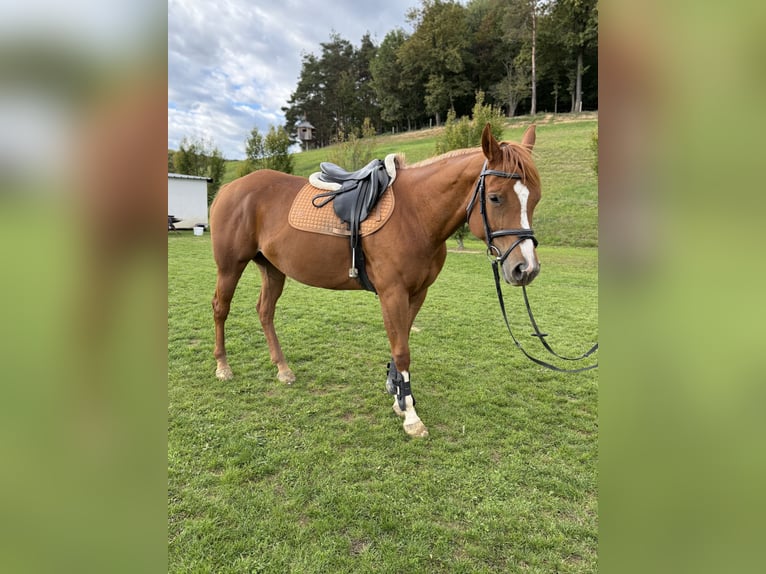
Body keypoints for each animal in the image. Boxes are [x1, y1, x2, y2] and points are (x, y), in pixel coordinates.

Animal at [210, 124, 541, 437]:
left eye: (535, 199)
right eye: (495, 197)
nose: (526, 268)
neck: (416, 214)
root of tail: (229, 188)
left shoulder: (416, 293)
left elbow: (400, 342)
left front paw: (398, 397)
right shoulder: (392, 293)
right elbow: (402, 351)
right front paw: (411, 417)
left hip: (273, 268)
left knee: (265, 311)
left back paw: (282, 369)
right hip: (230, 266)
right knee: (221, 308)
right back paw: (223, 366)